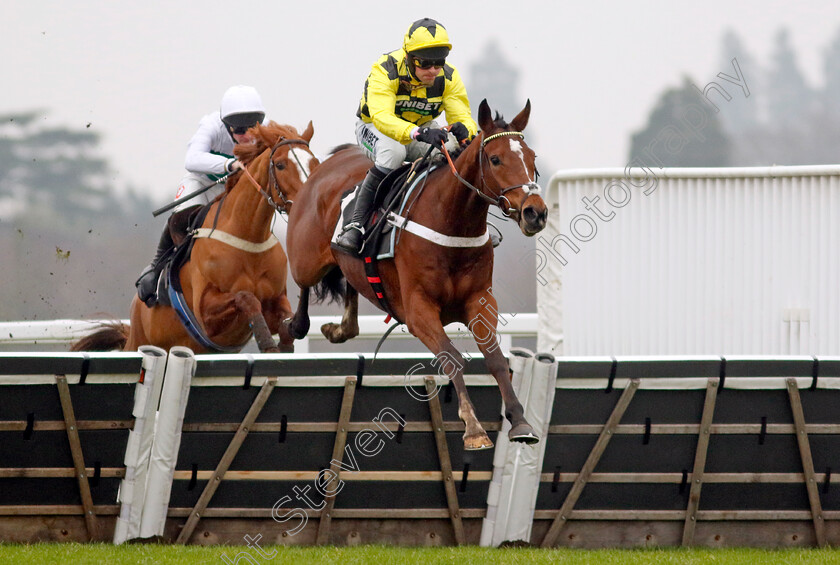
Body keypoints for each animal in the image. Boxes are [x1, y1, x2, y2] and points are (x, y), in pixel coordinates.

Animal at [71, 121, 318, 354]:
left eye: (314, 163)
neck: (249, 239)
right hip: (139, 343)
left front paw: (287, 340)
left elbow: (291, 324)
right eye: (280, 164)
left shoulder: (276, 300)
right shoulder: (206, 314)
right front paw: (267, 342)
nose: (307, 202)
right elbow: (246, 298)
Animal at [286, 99, 548, 448]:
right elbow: (451, 356)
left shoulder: (480, 300)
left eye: (532, 159)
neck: (451, 221)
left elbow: (494, 358)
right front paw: (473, 428)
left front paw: (520, 422)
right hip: (305, 259)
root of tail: (327, 164)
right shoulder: (418, 308)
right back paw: (298, 324)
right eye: (495, 159)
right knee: (303, 285)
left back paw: (340, 328)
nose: (536, 212)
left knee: (351, 289)